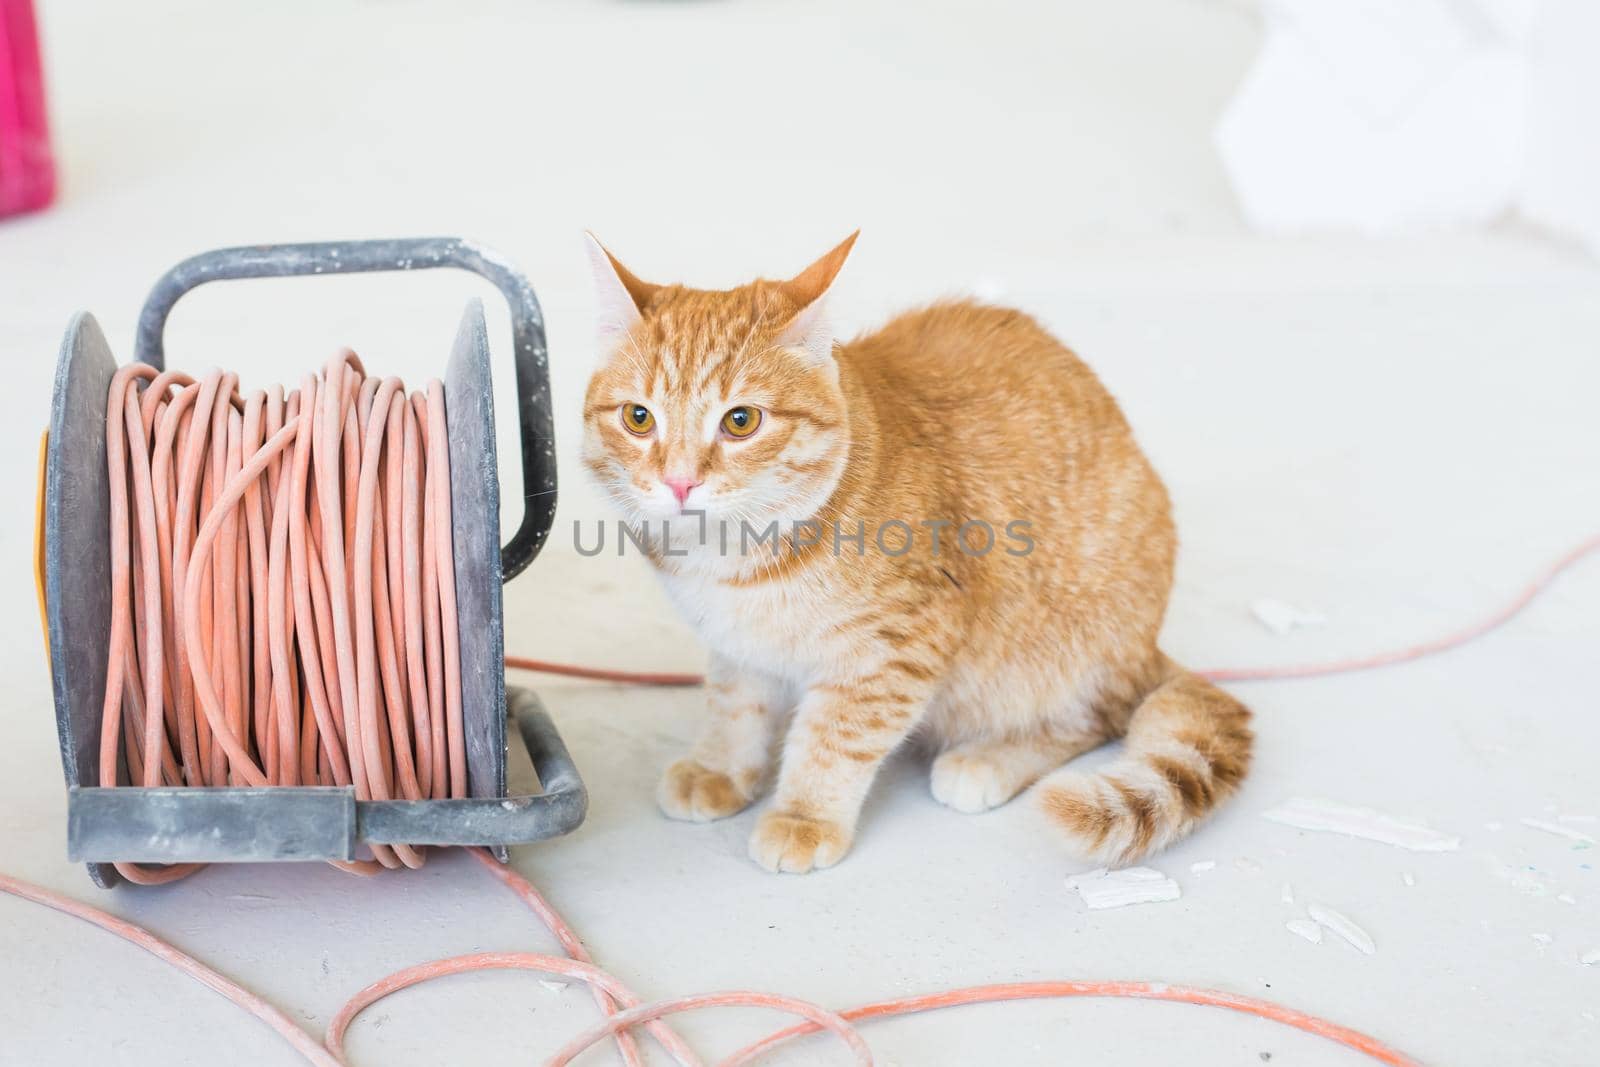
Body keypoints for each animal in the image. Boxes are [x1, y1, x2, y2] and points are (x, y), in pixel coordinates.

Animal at [579, 233, 1248, 876]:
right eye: (638, 418)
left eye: (741, 420)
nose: (680, 482)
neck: (732, 563)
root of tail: (1147, 646)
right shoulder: (737, 646)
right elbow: (734, 705)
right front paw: (721, 768)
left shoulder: (893, 649)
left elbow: (834, 739)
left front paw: (804, 816)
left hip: (1061, 650)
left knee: (1094, 717)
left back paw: (987, 761)